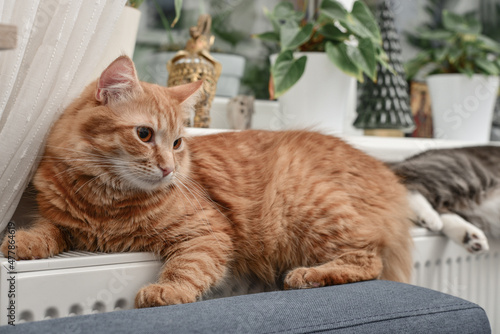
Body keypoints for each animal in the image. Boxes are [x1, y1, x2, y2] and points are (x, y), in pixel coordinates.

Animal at [0, 55, 412, 308]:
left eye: (177, 143)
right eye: (145, 135)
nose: (168, 169)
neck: (105, 201)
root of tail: (384, 172)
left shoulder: (208, 231)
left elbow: (187, 268)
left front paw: (166, 291)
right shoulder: (60, 222)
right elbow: (43, 233)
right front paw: (18, 245)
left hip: (307, 208)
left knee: (369, 260)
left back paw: (308, 275)